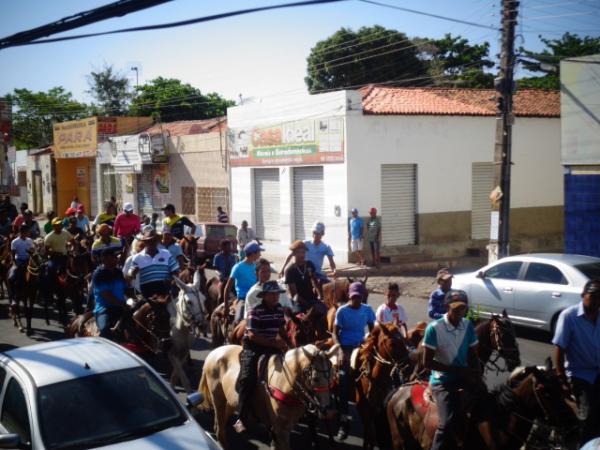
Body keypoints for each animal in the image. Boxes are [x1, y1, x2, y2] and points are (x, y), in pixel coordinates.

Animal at [200, 342, 342, 448]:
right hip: (218, 399)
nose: (329, 412)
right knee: (220, 430)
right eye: (316, 378)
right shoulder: (280, 430)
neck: (286, 384)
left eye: (331, 378)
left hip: (229, 402)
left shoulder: (282, 428)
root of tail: (213, 353)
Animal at [386, 358, 580, 450]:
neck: (500, 423)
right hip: (398, 440)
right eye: (546, 392)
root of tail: (399, 390)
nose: (574, 425)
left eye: (562, 388)